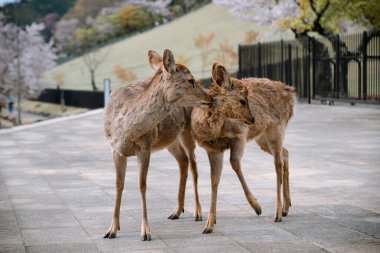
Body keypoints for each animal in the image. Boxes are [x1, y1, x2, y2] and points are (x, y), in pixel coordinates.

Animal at [102, 48, 212, 240]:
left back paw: (198, 213)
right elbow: (118, 185)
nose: (210, 97)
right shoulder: (115, 149)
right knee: (183, 161)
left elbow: (142, 185)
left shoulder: (145, 147)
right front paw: (112, 229)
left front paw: (146, 232)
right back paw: (176, 211)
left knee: (194, 165)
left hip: (188, 130)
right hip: (170, 140)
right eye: (189, 80)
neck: (125, 130)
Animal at [191, 62, 296, 233]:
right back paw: (286, 207)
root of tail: (291, 94)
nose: (252, 119)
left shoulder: (240, 135)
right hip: (262, 138)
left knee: (278, 163)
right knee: (285, 152)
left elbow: (234, 163)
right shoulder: (213, 149)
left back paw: (278, 213)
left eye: (247, 98)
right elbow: (214, 180)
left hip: (276, 128)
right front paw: (209, 224)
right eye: (242, 100)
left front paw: (257, 207)